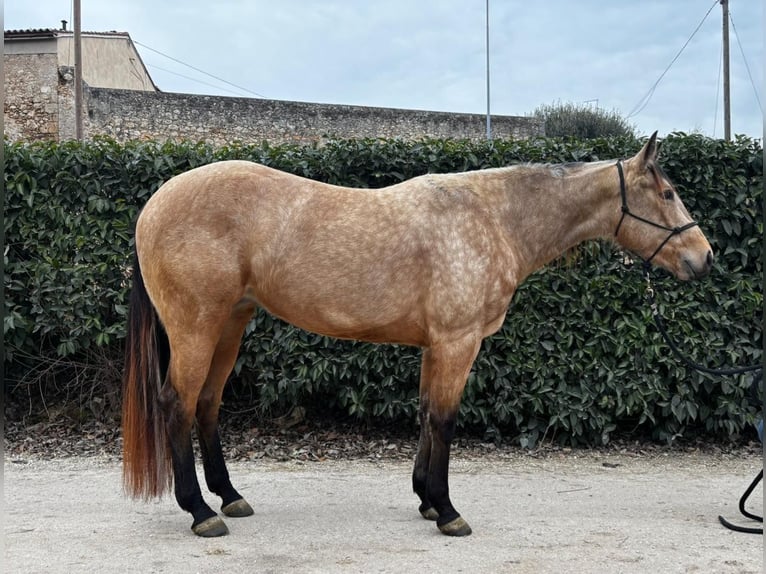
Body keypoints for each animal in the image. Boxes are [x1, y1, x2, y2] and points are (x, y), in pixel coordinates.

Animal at [122, 132, 713, 538]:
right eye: (666, 193)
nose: (704, 257)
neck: (494, 218)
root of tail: (154, 205)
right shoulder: (458, 342)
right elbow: (445, 420)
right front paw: (448, 512)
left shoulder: (437, 346)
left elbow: (428, 414)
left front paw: (427, 500)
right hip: (197, 325)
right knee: (177, 403)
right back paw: (201, 512)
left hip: (230, 323)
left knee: (207, 404)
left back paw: (229, 497)